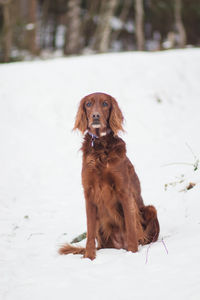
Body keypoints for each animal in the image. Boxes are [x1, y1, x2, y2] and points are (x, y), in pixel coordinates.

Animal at [58, 92, 159, 258]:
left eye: (105, 103)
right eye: (88, 104)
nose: (95, 116)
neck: (100, 146)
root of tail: (118, 246)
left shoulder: (124, 192)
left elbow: (131, 226)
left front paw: (133, 252)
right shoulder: (89, 193)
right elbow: (90, 232)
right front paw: (89, 257)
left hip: (150, 209)